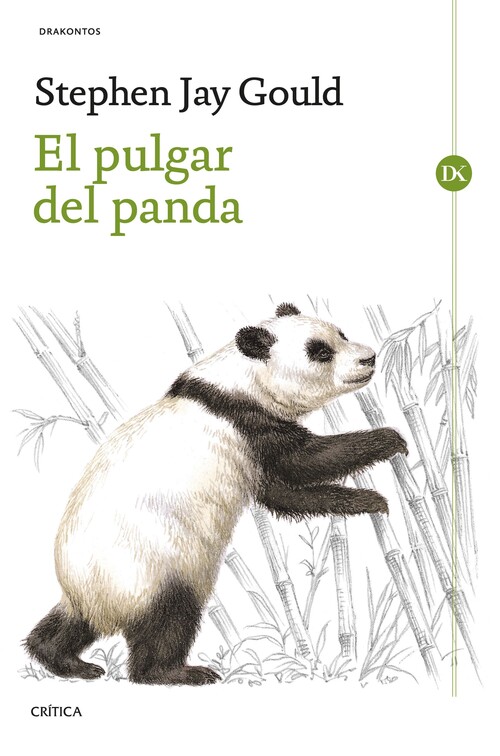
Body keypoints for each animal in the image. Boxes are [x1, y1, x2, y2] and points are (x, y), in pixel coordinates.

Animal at [24, 303, 407, 686]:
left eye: (341, 334)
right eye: (320, 352)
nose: (369, 358)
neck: (236, 382)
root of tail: (101, 606)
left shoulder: (249, 446)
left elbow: (282, 494)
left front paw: (368, 497)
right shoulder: (247, 423)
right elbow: (305, 462)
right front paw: (387, 447)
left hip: (93, 587)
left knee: (71, 623)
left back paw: (64, 660)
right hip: (152, 565)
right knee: (171, 616)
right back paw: (175, 672)